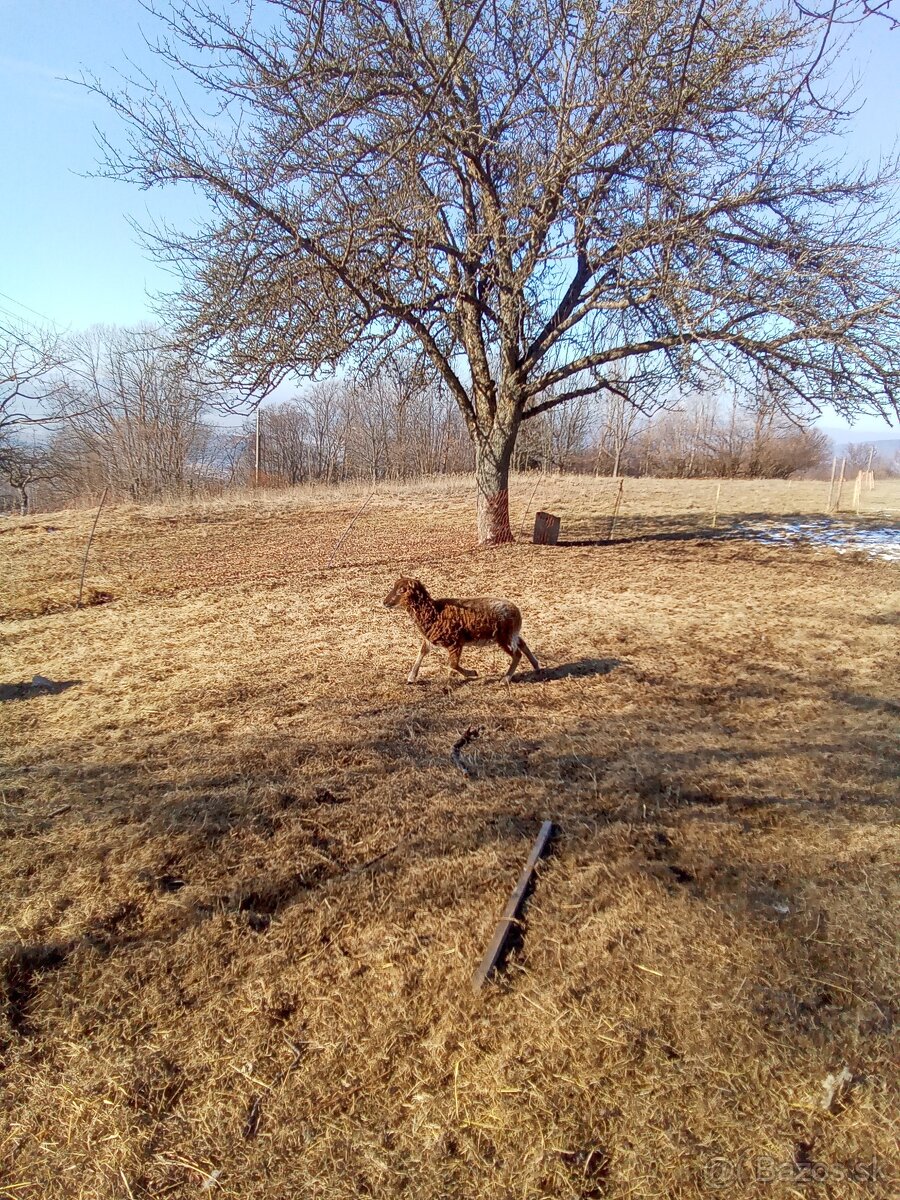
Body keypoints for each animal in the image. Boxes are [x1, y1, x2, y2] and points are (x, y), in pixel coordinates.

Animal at [381, 578, 540, 686]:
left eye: (402, 590)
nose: (385, 602)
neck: (435, 613)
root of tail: (517, 612)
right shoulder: (429, 639)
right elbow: (422, 653)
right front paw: (411, 678)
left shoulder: (456, 642)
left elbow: (452, 664)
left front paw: (472, 673)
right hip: (511, 634)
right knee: (522, 644)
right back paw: (536, 667)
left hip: (504, 636)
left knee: (517, 654)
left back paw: (506, 679)